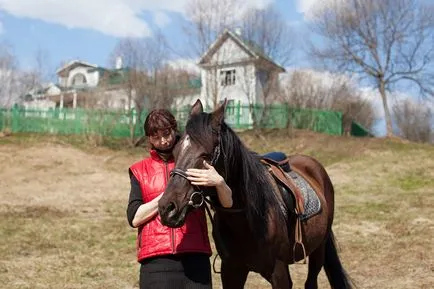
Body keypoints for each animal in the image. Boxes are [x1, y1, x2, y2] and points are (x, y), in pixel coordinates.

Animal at [158, 99, 354, 288]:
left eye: (205, 156)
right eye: (175, 152)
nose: (167, 208)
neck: (245, 217)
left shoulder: (279, 273)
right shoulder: (231, 270)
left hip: (318, 250)